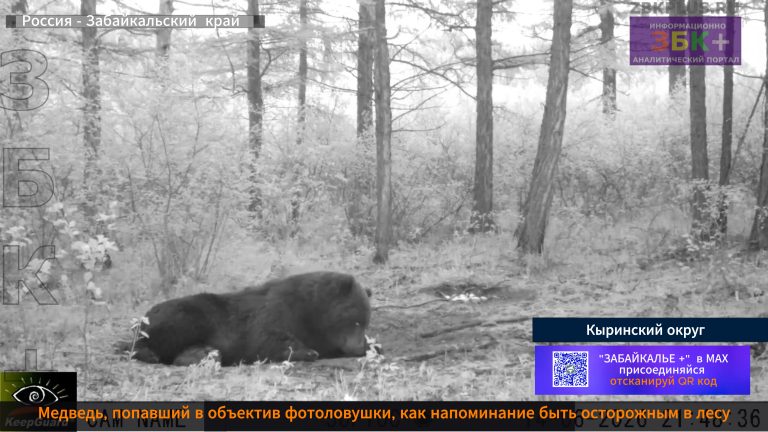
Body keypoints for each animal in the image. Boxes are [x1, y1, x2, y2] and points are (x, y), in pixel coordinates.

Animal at [129, 271, 371, 366]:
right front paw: (306, 351)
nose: (360, 347)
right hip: (189, 314)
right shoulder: (277, 310)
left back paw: (200, 354)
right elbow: (266, 337)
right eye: (356, 321)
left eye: (366, 322)